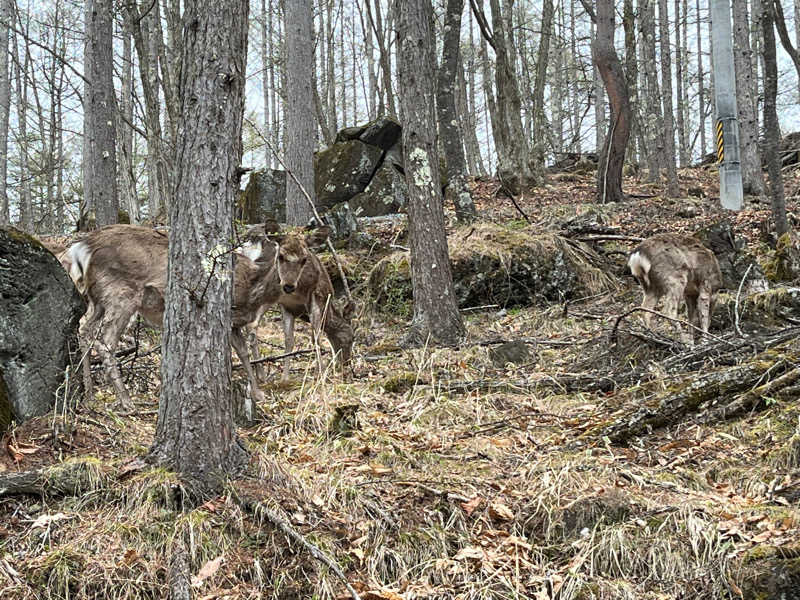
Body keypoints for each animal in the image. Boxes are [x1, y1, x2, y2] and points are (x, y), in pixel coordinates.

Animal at [67, 223, 282, 414]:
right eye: (282, 255)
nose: (287, 285)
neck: (254, 291)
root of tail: (83, 247)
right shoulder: (230, 315)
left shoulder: (235, 323)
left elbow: (243, 352)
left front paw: (258, 394)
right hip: (120, 294)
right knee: (105, 342)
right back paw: (126, 401)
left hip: (97, 300)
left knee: (84, 330)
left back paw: (89, 394)